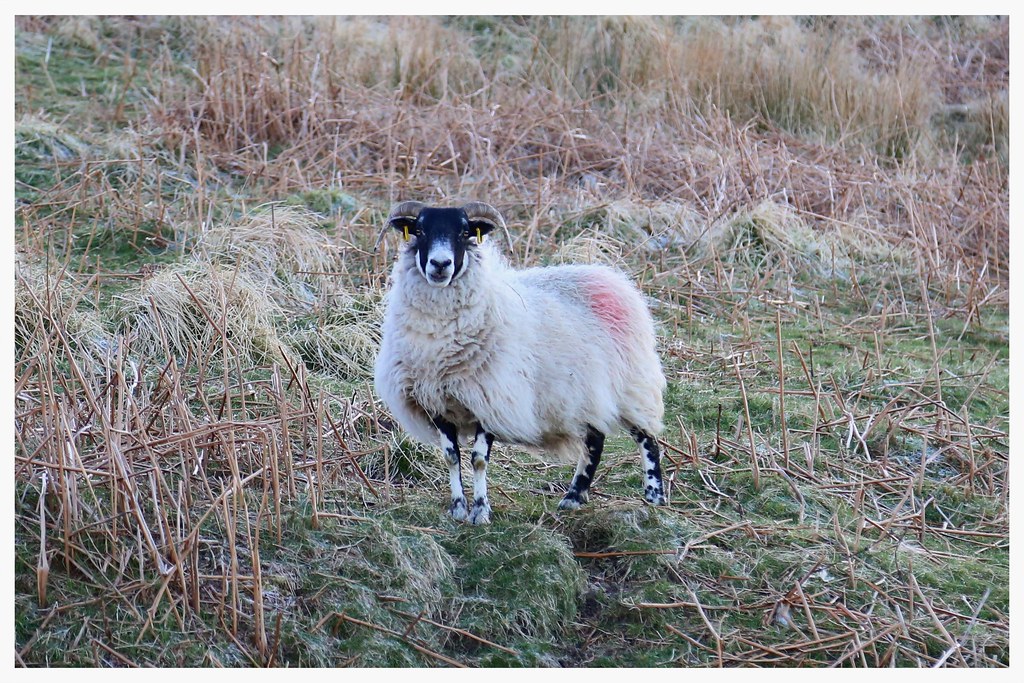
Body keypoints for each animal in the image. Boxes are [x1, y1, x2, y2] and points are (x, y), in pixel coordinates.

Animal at [373, 201, 667, 524]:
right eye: (420, 231)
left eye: (464, 232)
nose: (440, 264)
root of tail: (612, 277)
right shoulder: (437, 402)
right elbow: (451, 457)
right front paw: (458, 509)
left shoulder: (492, 399)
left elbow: (478, 460)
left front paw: (481, 511)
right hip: (586, 393)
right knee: (595, 439)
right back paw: (574, 497)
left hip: (633, 384)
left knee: (647, 438)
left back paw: (654, 495)